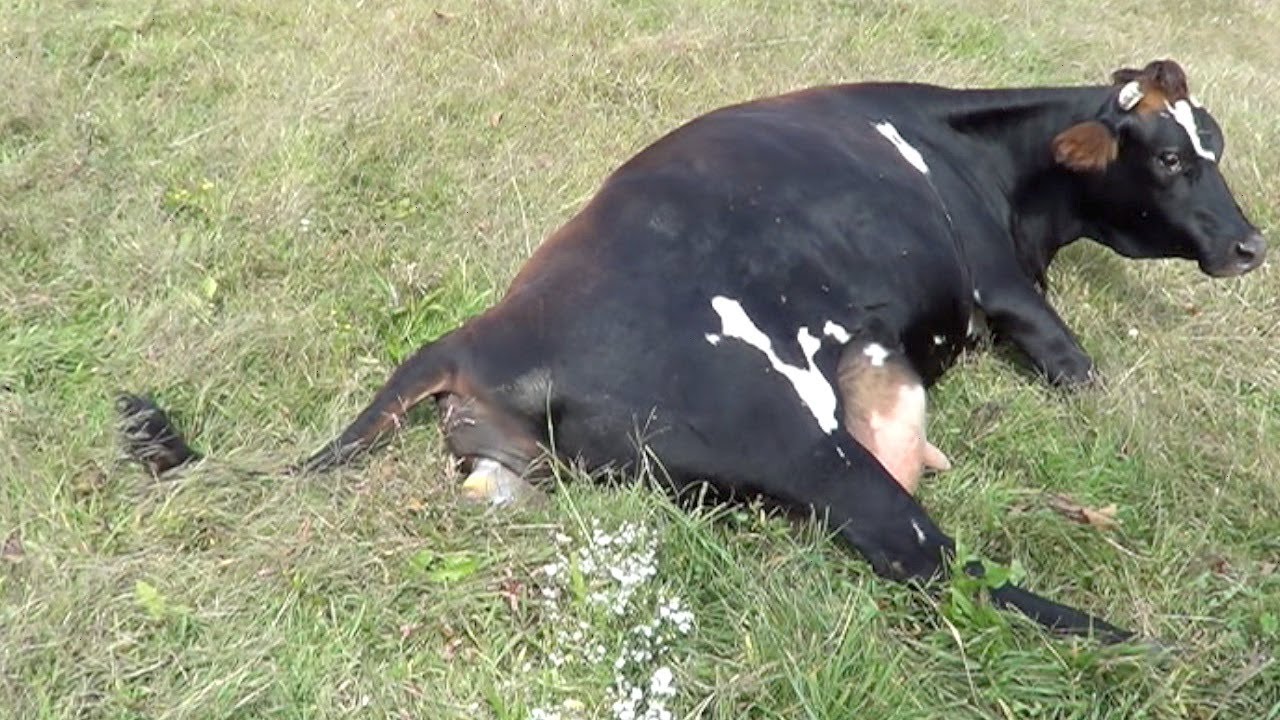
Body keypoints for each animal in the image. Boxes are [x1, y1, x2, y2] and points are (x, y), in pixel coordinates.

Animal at [120, 60, 1265, 641]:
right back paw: (1139, 644)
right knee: (927, 558)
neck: (970, 153)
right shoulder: (1005, 292)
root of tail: (482, 330)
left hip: (519, 479)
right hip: (802, 440)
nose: (1253, 244)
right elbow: (1085, 375)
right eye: (1171, 159)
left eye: (1215, 146)